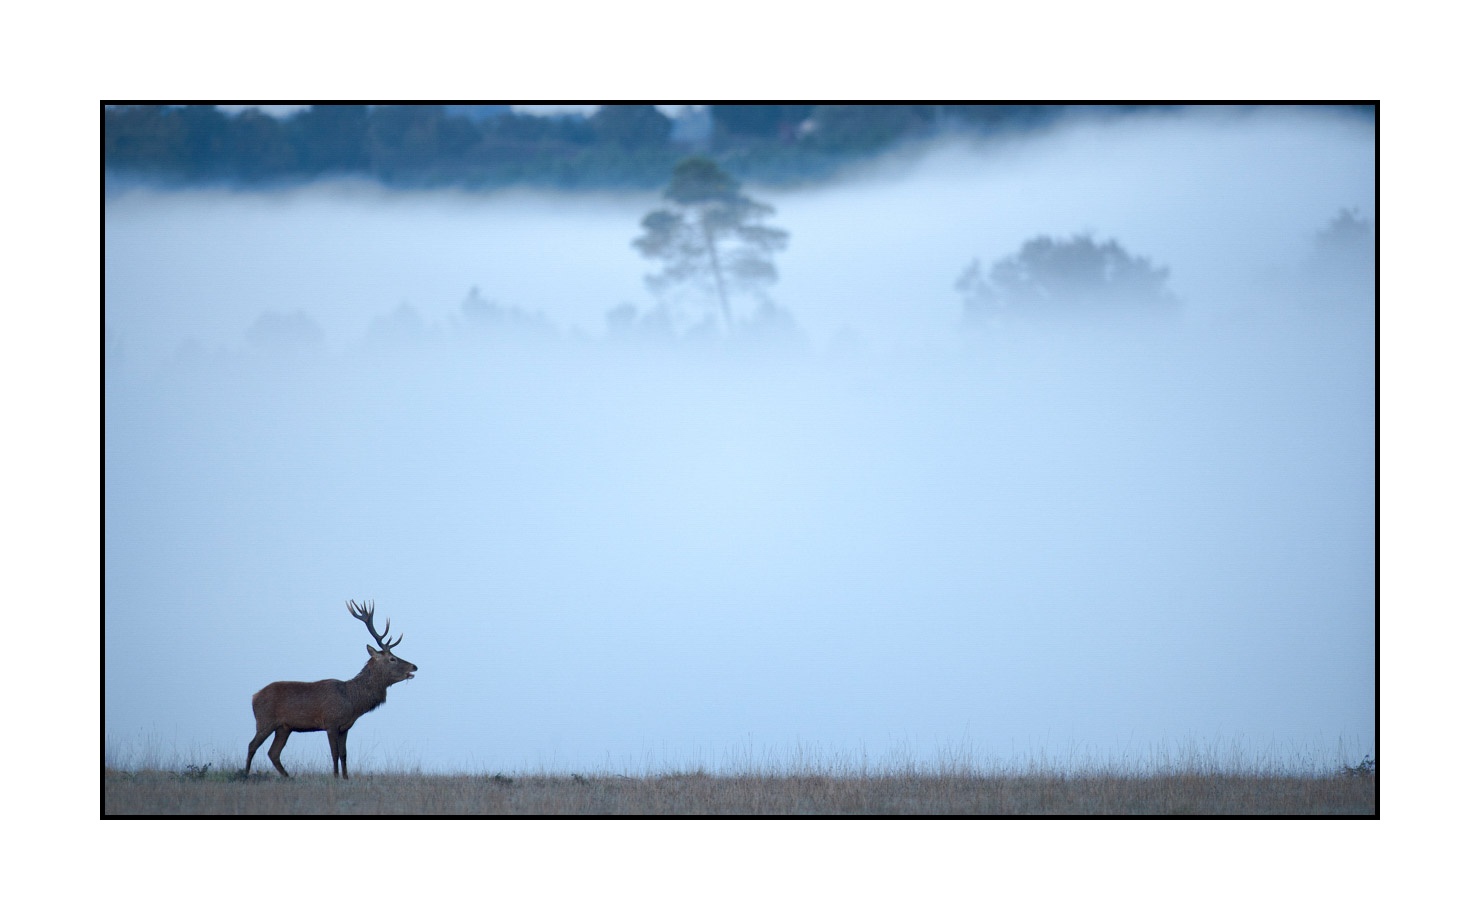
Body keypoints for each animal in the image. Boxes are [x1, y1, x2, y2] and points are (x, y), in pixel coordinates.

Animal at [244, 600, 418, 779]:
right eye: (392, 658)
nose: (414, 666)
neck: (352, 702)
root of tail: (254, 696)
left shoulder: (345, 727)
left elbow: (344, 754)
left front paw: (346, 778)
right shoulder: (331, 723)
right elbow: (334, 753)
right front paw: (335, 777)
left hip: (284, 728)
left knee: (273, 753)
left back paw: (288, 777)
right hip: (264, 721)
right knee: (252, 745)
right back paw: (245, 774)